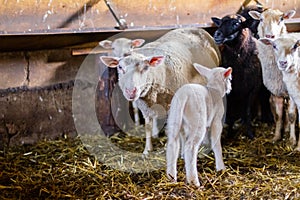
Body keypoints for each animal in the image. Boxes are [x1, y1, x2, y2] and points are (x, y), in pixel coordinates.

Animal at [100, 27, 220, 155]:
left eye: (145, 67)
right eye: (120, 67)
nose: (131, 91)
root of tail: (196, 28)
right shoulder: (145, 107)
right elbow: (148, 126)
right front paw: (147, 150)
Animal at [247, 9, 298, 143]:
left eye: (281, 19)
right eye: (261, 19)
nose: (270, 36)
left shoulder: (292, 91)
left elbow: (292, 115)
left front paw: (292, 140)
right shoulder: (276, 90)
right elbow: (279, 115)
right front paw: (277, 136)